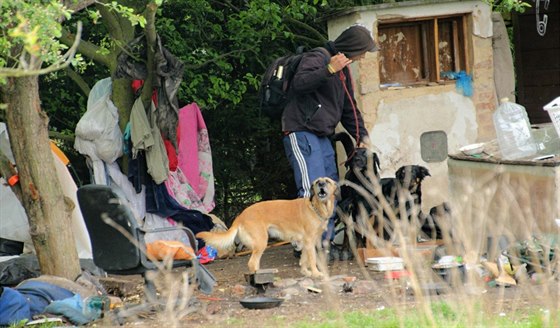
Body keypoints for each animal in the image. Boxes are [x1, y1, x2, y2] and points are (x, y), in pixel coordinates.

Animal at [197, 178, 336, 278]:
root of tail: (240, 216)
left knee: (255, 264)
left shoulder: (307, 243)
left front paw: (306, 272)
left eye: (327, 181)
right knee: (252, 264)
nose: (321, 184)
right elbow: (312, 260)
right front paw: (316, 274)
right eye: (317, 181)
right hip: (261, 242)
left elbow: (304, 259)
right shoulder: (309, 241)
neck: (316, 207)